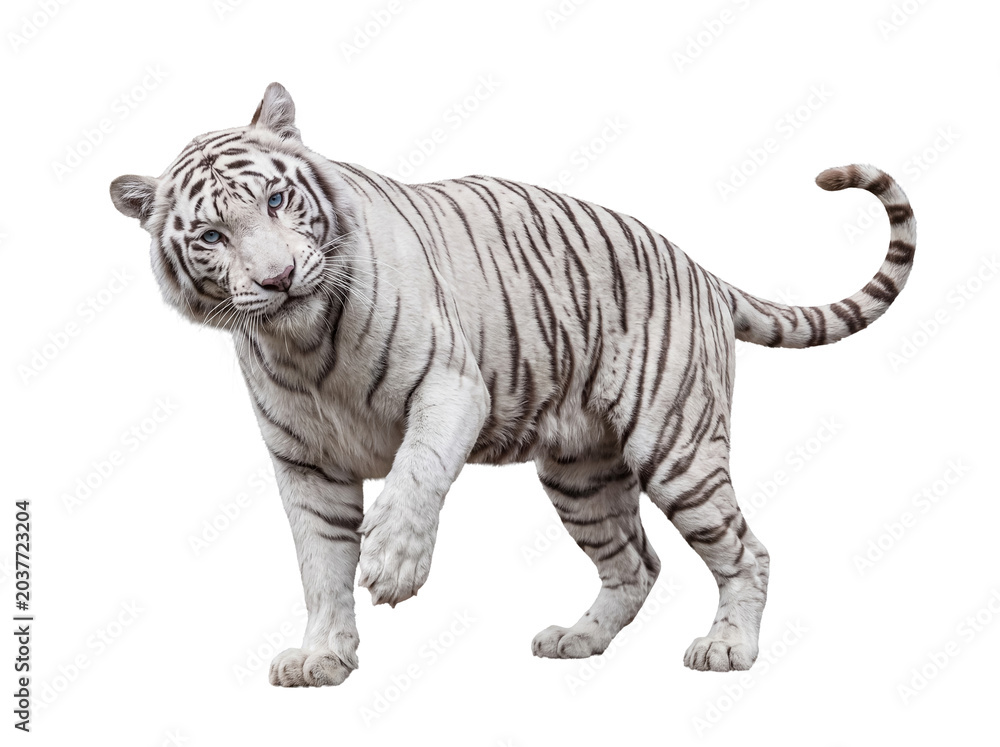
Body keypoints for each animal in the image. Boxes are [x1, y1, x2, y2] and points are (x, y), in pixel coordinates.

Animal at [110, 82, 915, 687]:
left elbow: (415, 471)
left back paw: (727, 648)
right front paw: (322, 656)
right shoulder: (305, 464)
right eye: (212, 237)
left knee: (747, 549)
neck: (301, 342)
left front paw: (393, 563)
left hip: (677, 447)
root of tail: (700, 268)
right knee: (636, 562)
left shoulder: (449, 385)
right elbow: (319, 563)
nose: (278, 278)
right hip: (580, 472)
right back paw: (578, 639)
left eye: (276, 201)